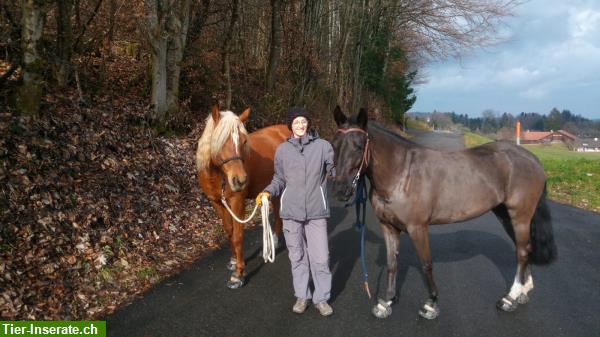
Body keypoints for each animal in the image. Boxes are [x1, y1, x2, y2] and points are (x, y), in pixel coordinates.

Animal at [197, 106, 290, 288]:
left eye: (244, 141)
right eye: (220, 141)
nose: (239, 180)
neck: (218, 176)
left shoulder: (237, 202)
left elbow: (238, 236)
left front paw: (238, 274)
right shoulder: (217, 202)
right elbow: (229, 231)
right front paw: (233, 261)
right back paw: (274, 241)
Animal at [330, 106, 556, 318]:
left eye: (359, 146)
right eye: (334, 145)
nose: (340, 190)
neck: (402, 174)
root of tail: (533, 160)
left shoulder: (417, 227)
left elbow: (426, 264)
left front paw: (431, 304)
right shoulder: (388, 226)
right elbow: (392, 263)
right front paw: (387, 302)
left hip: (520, 216)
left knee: (522, 251)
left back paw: (510, 297)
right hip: (506, 215)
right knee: (525, 248)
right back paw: (523, 291)